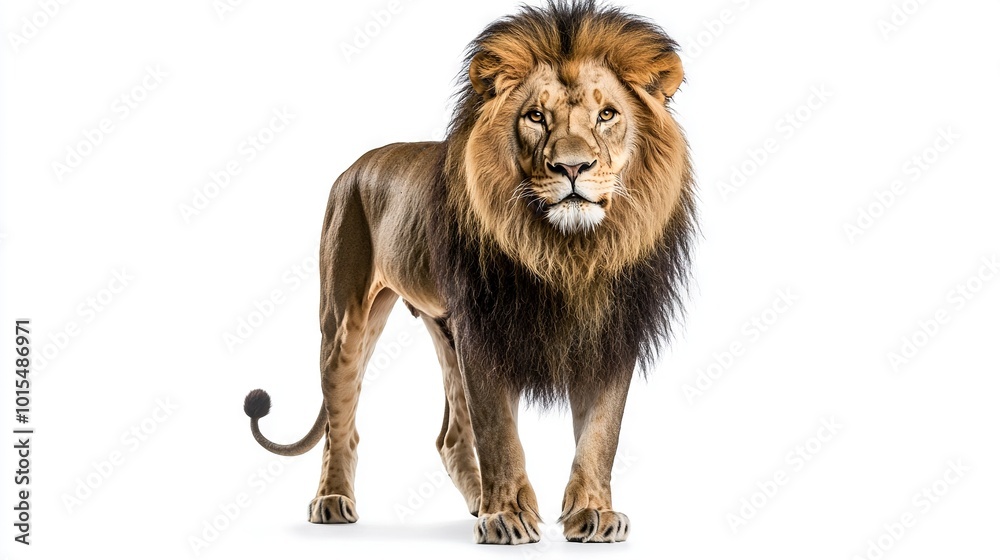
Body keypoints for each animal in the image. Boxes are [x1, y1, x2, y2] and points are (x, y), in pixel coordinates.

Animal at [243, 0, 695, 545]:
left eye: (607, 114)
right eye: (536, 116)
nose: (573, 168)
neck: (567, 252)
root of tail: (356, 165)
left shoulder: (611, 331)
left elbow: (601, 434)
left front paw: (594, 513)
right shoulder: (484, 330)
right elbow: (498, 432)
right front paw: (508, 515)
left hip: (444, 329)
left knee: (451, 436)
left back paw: (478, 502)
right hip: (347, 319)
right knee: (341, 419)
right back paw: (333, 500)